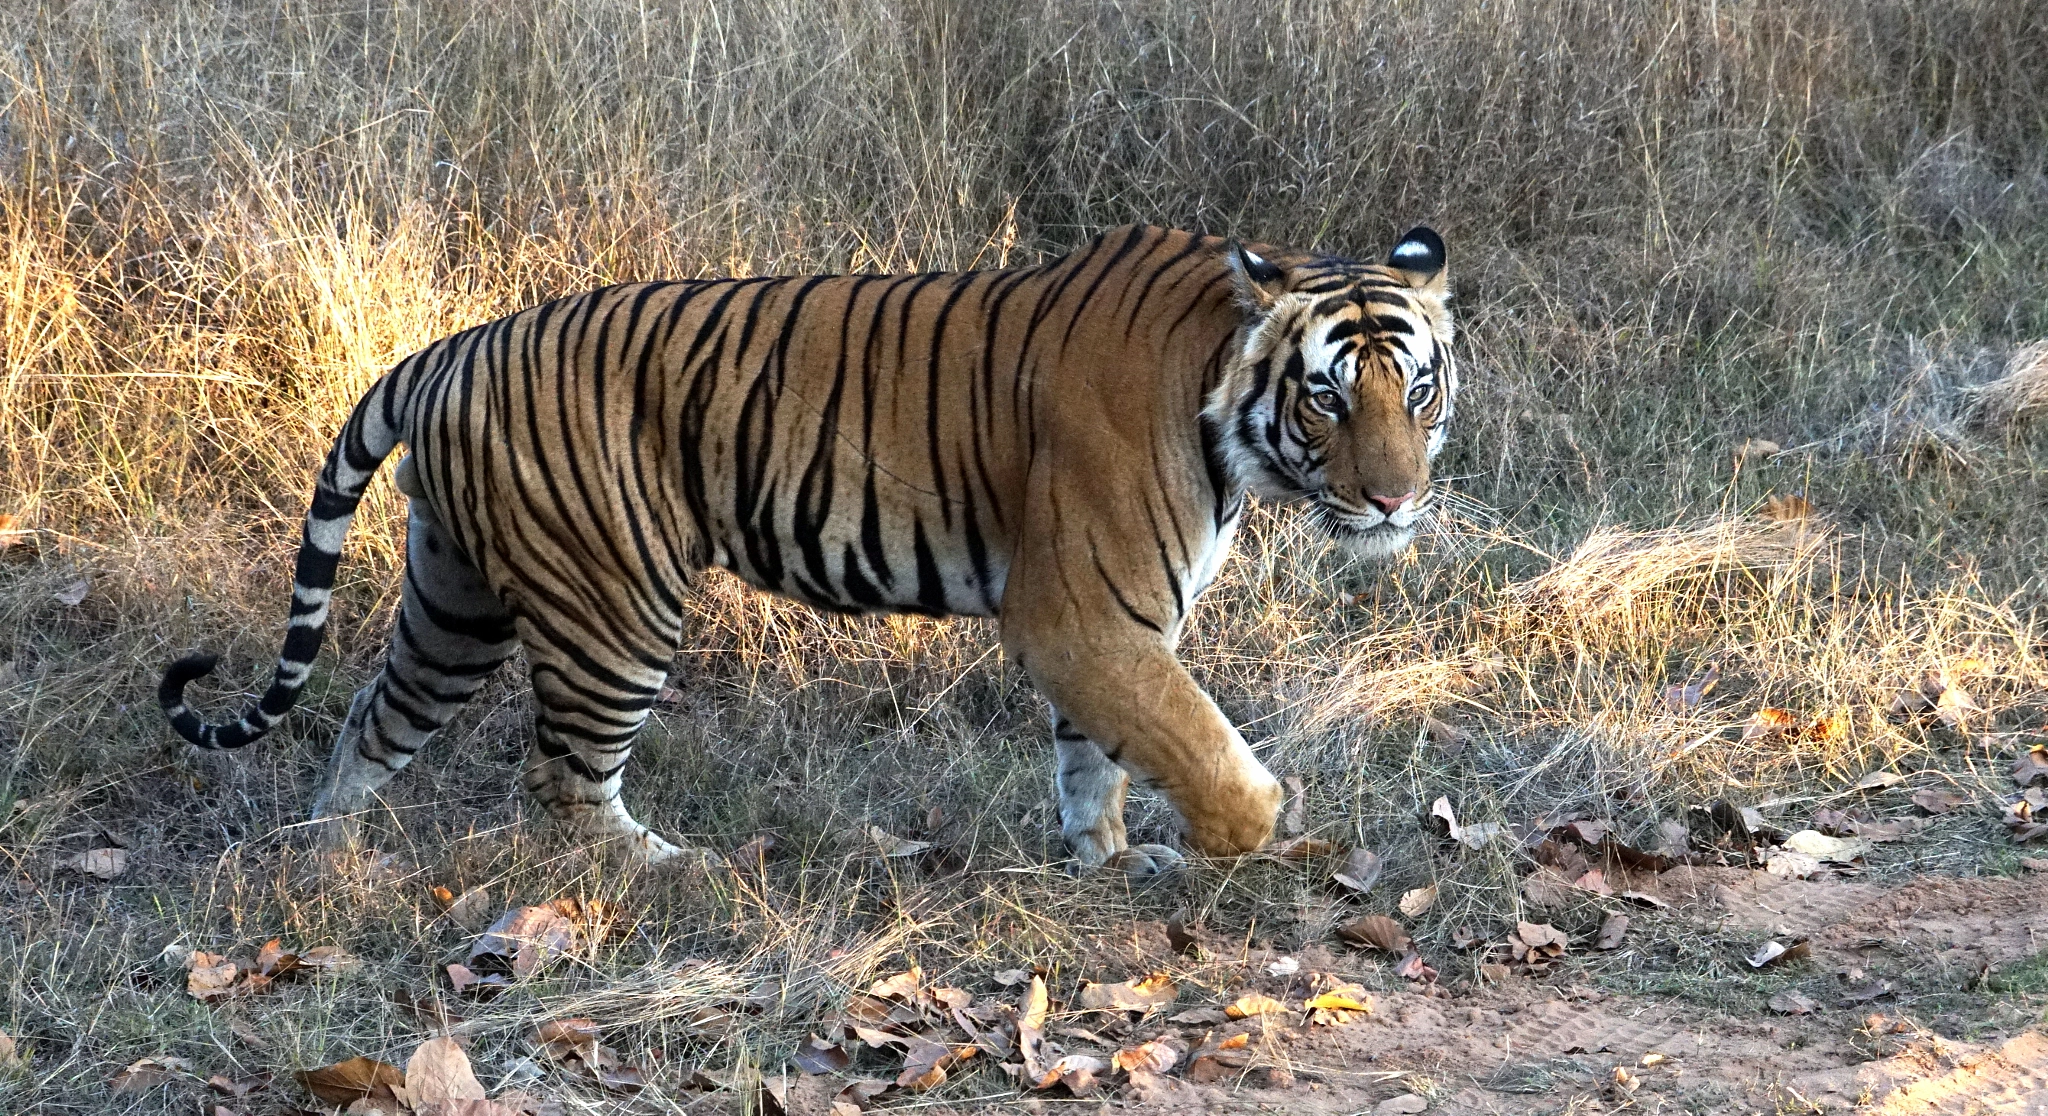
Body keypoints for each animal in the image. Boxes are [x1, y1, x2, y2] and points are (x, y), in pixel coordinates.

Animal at [159, 223, 1456, 874]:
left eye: (1418, 390)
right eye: (1327, 397)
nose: (1393, 501)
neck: (1225, 409)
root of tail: (454, 346)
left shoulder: (1114, 628)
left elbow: (1099, 756)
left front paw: (1104, 860)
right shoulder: (1083, 613)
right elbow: (1197, 748)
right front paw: (1249, 838)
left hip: (455, 598)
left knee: (369, 720)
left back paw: (331, 862)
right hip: (616, 607)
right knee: (559, 784)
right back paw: (672, 871)